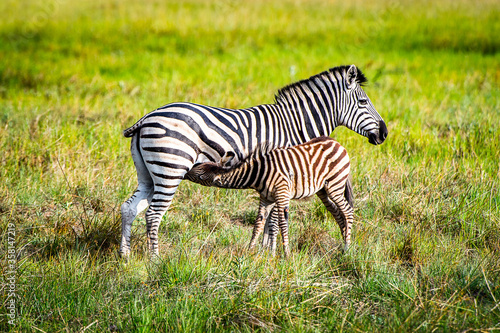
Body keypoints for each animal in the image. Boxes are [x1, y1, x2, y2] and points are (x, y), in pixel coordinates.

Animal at [186, 136, 354, 255]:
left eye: (200, 176)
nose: (185, 171)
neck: (259, 173)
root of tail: (337, 143)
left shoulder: (282, 194)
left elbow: (282, 224)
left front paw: (286, 254)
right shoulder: (266, 198)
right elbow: (259, 224)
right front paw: (250, 251)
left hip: (335, 185)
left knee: (348, 211)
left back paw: (347, 248)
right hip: (323, 190)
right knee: (338, 214)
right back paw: (342, 242)